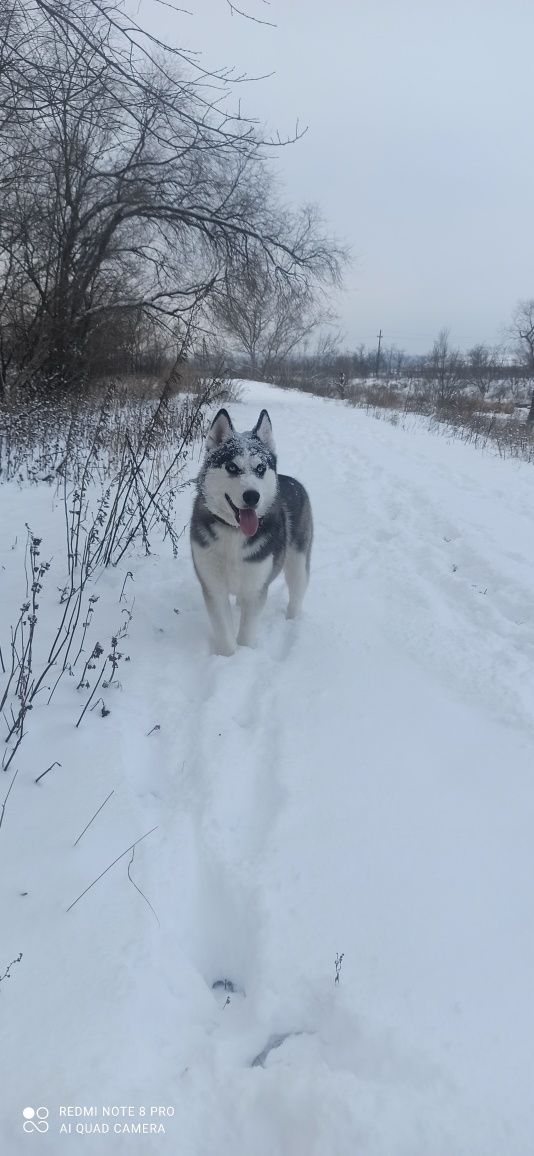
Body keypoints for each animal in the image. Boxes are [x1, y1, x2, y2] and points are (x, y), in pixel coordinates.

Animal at [189, 411, 309, 656]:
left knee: (296, 594)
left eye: (261, 468)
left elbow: (246, 634)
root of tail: (292, 480)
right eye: (232, 468)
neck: (234, 533)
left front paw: (242, 655)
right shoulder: (213, 586)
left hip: (298, 565)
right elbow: (225, 633)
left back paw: (292, 622)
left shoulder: (256, 589)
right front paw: (229, 657)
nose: (252, 496)